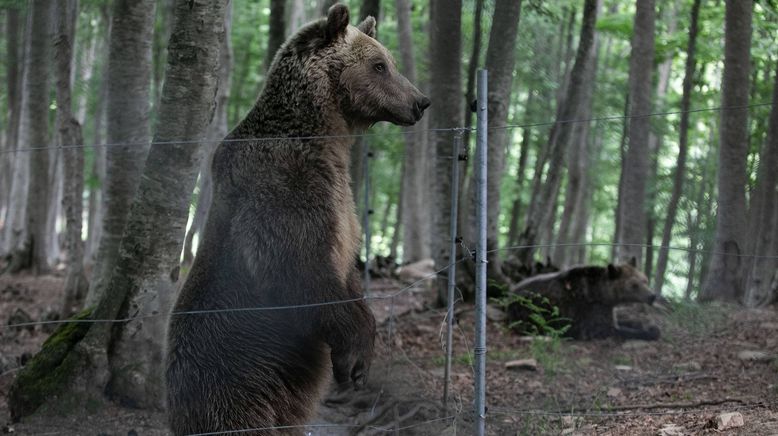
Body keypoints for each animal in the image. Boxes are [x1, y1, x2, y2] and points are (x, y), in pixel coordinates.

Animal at [165, 5, 430, 434]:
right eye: (379, 65)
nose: (421, 101)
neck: (321, 133)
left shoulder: (341, 200)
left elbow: (346, 264)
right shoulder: (287, 185)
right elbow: (298, 265)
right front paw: (355, 360)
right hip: (234, 377)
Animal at [504, 258, 660, 340]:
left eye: (645, 280)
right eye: (634, 285)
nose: (652, 296)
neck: (604, 294)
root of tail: (510, 293)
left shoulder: (607, 308)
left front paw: (645, 324)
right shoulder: (592, 311)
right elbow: (611, 330)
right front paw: (651, 331)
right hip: (531, 310)